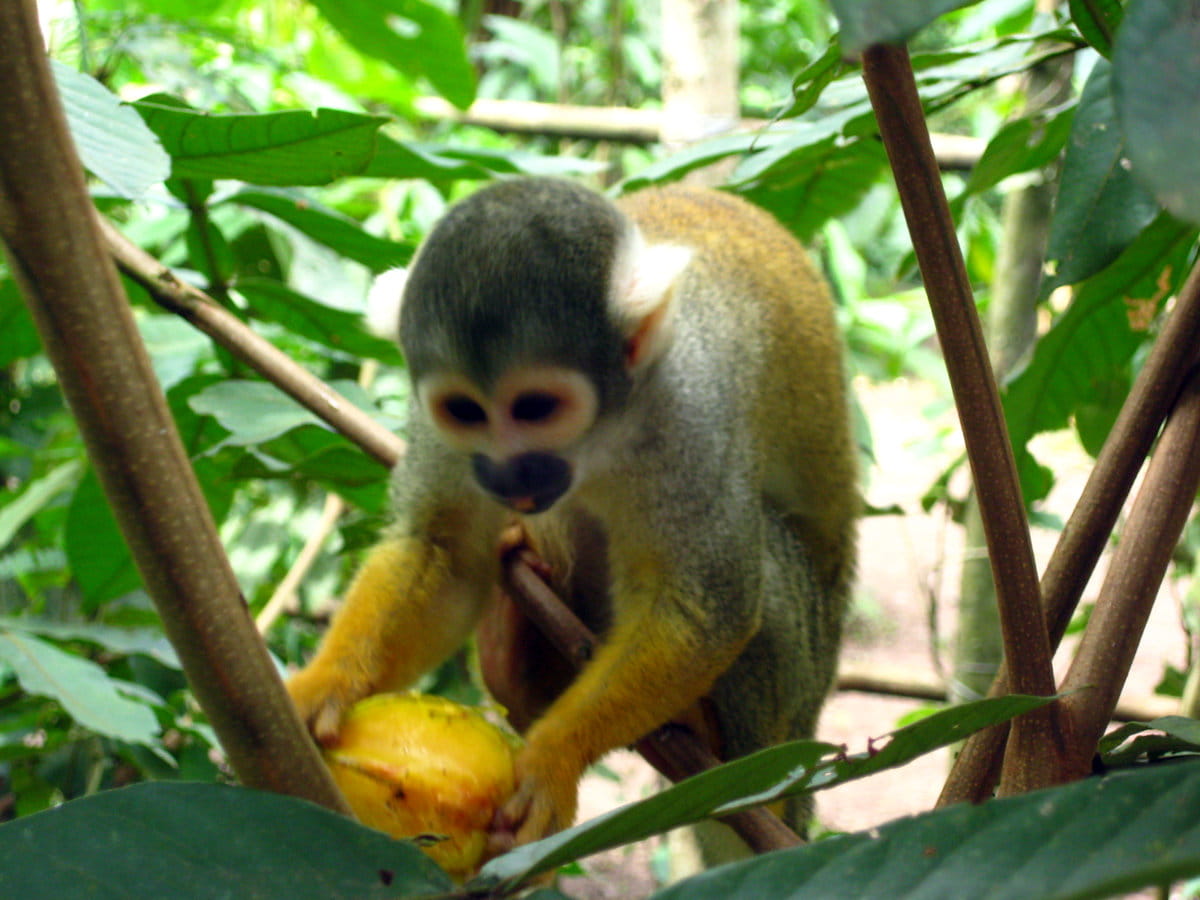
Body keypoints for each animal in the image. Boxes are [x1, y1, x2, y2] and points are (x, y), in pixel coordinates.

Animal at [286, 176, 858, 859]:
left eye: (535, 407)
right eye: (464, 410)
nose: (507, 474)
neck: (601, 432)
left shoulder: (690, 410)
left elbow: (706, 606)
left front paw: (555, 758)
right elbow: (444, 551)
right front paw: (326, 683)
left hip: (795, 688)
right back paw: (514, 655)